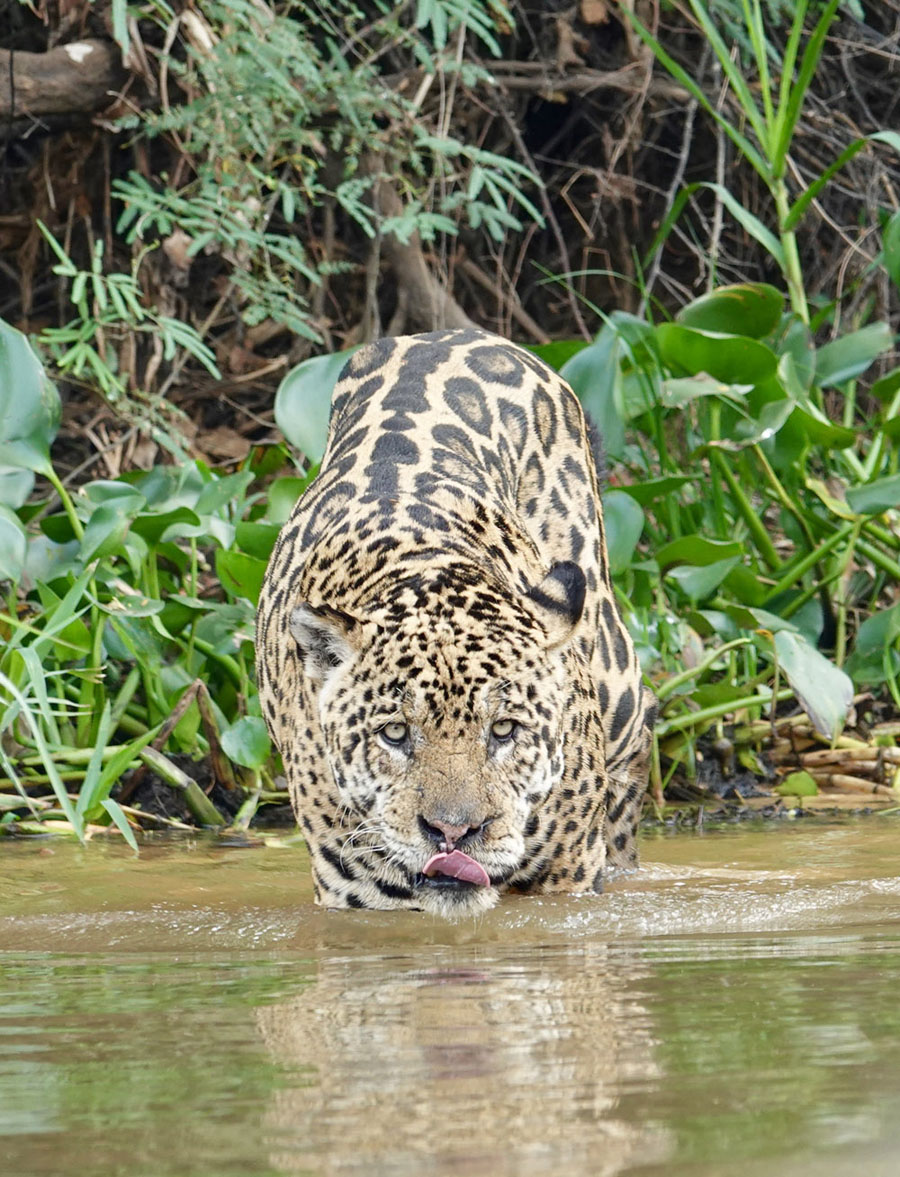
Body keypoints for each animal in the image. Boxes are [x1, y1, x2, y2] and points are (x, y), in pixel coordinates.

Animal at [256, 327, 656, 917]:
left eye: (505, 730)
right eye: (395, 733)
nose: (453, 833)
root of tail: (449, 333)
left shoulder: (567, 879)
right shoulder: (358, 895)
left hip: (609, 661)